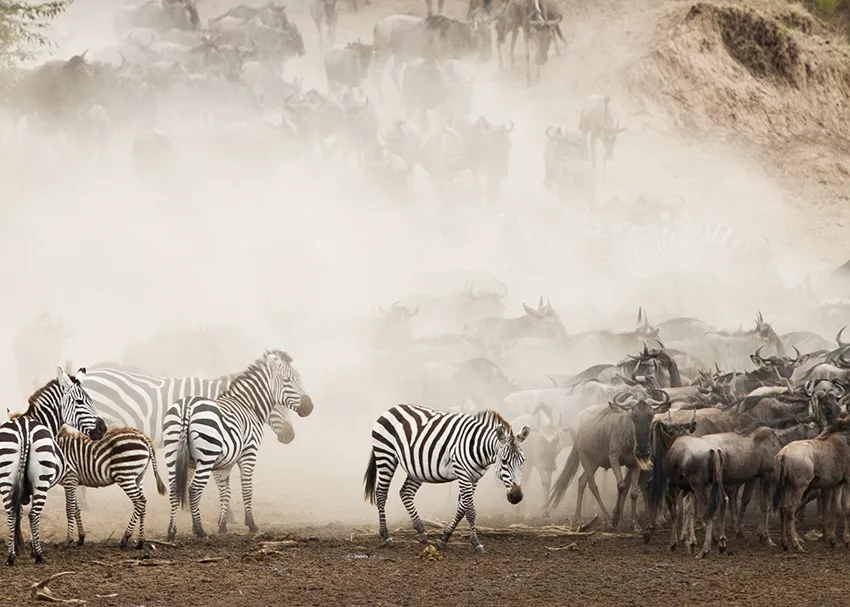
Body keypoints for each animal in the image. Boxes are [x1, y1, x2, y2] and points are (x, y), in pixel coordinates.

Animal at [0, 367, 106, 565]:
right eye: (80, 401)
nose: (103, 429)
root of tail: (25, 429)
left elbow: (18, 512)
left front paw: (19, 549)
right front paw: (31, 550)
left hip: (5, 477)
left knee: (10, 512)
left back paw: (10, 557)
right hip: (41, 481)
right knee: (34, 514)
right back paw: (40, 555)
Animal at [163, 349, 314, 540]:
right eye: (287, 380)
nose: (310, 407)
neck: (248, 405)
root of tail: (186, 407)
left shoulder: (224, 463)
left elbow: (225, 491)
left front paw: (222, 527)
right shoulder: (249, 452)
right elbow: (246, 488)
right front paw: (252, 525)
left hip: (172, 454)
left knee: (174, 489)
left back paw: (171, 531)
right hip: (206, 456)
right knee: (194, 489)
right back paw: (199, 530)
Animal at [362, 404, 530, 554]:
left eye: (523, 461)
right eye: (504, 461)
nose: (516, 497)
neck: (478, 448)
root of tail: (392, 408)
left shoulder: (474, 478)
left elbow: (462, 508)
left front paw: (444, 538)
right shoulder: (463, 473)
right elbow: (470, 510)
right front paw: (476, 543)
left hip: (416, 468)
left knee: (405, 492)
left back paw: (421, 531)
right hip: (386, 455)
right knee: (381, 494)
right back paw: (386, 536)